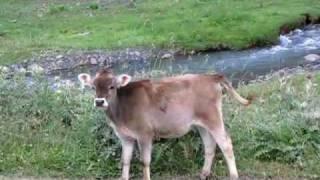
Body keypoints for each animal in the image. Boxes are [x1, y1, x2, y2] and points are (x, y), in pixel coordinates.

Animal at [79, 69, 251, 180]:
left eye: (112, 86)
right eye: (93, 87)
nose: (99, 102)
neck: (121, 111)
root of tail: (210, 76)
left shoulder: (144, 134)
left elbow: (144, 161)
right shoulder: (124, 137)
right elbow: (125, 161)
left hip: (213, 117)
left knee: (226, 143)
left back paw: (233, 176)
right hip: (201, 123)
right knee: (209, 145)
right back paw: (203, 174)